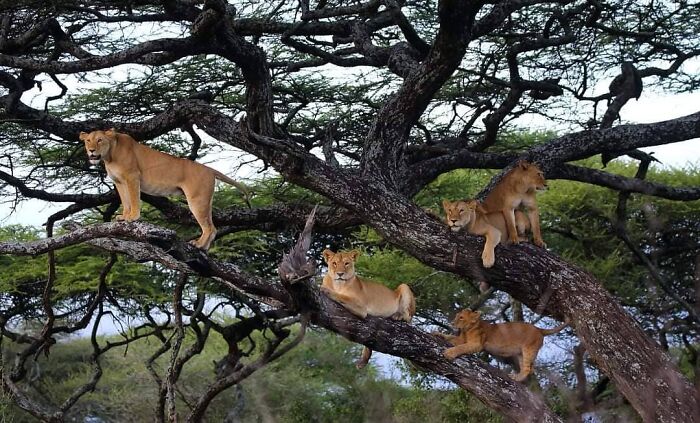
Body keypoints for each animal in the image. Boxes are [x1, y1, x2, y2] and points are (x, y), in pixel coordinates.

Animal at [80, 129, 249, 250]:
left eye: (99, 140)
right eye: (88, 140)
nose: (91, 150)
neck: (109, 156)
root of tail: (209, 169)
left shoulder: (132, 177)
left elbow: (133, 199)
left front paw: (133, 217)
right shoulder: (119, 182)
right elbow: (125, 201)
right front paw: (124, 216)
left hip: (197, 200)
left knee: (209, 227)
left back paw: (198, 244)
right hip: (206, 200)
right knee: (212, 227)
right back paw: (204, 248)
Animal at [436, 309, 567, 381]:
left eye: (461, 318)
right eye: (457, 316)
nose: (452, 323)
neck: (467, 330)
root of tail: (539, 329)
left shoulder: (476, 344)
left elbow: (460, 347)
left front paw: (449, 353)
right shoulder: (461, 339)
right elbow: (451, 338)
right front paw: (437, 334)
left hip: (529, 349)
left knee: (528, 369)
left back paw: (516, 377)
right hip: (521, 353)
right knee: (530, 369)